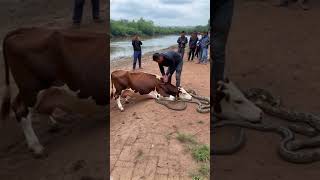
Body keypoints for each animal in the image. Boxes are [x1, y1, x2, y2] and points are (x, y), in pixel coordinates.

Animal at [0, 27, 108, 157]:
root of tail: (24, 30)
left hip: (33, 90)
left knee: (20, 105)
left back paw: (53, 125)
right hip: (31, 88)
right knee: (22, 111)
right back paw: (36, 147)